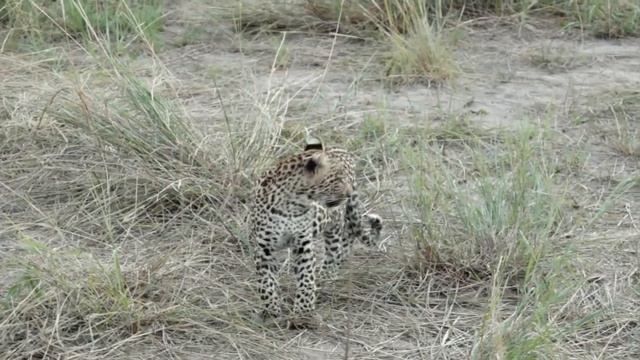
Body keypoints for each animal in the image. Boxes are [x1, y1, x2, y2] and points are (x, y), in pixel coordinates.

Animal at [248, 138, 382, 324]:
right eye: (338, 178)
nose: (348, 194)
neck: (292, 204)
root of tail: (342, 150)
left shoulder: (303, 244)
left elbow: (306, 278)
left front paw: (303, 311)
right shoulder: (263, 247)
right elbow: (266, 282)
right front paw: (271, 310)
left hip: (334, 222)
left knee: (340, 244)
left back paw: (326, 277)